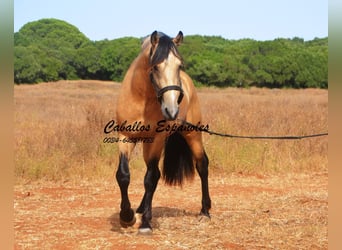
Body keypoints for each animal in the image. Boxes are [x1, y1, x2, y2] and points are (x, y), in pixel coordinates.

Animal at [115, 30, 211, 233]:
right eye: (156, 67)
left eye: (179, 65)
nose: (171, 110)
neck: (141, 99)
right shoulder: (125, 137)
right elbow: (123, 175)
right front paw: (127, 216)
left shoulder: (157, 139)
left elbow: (150, 178)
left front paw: (145, 223)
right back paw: (141, 209)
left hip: (192, 134)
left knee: (202, 165)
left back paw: (205, 211)